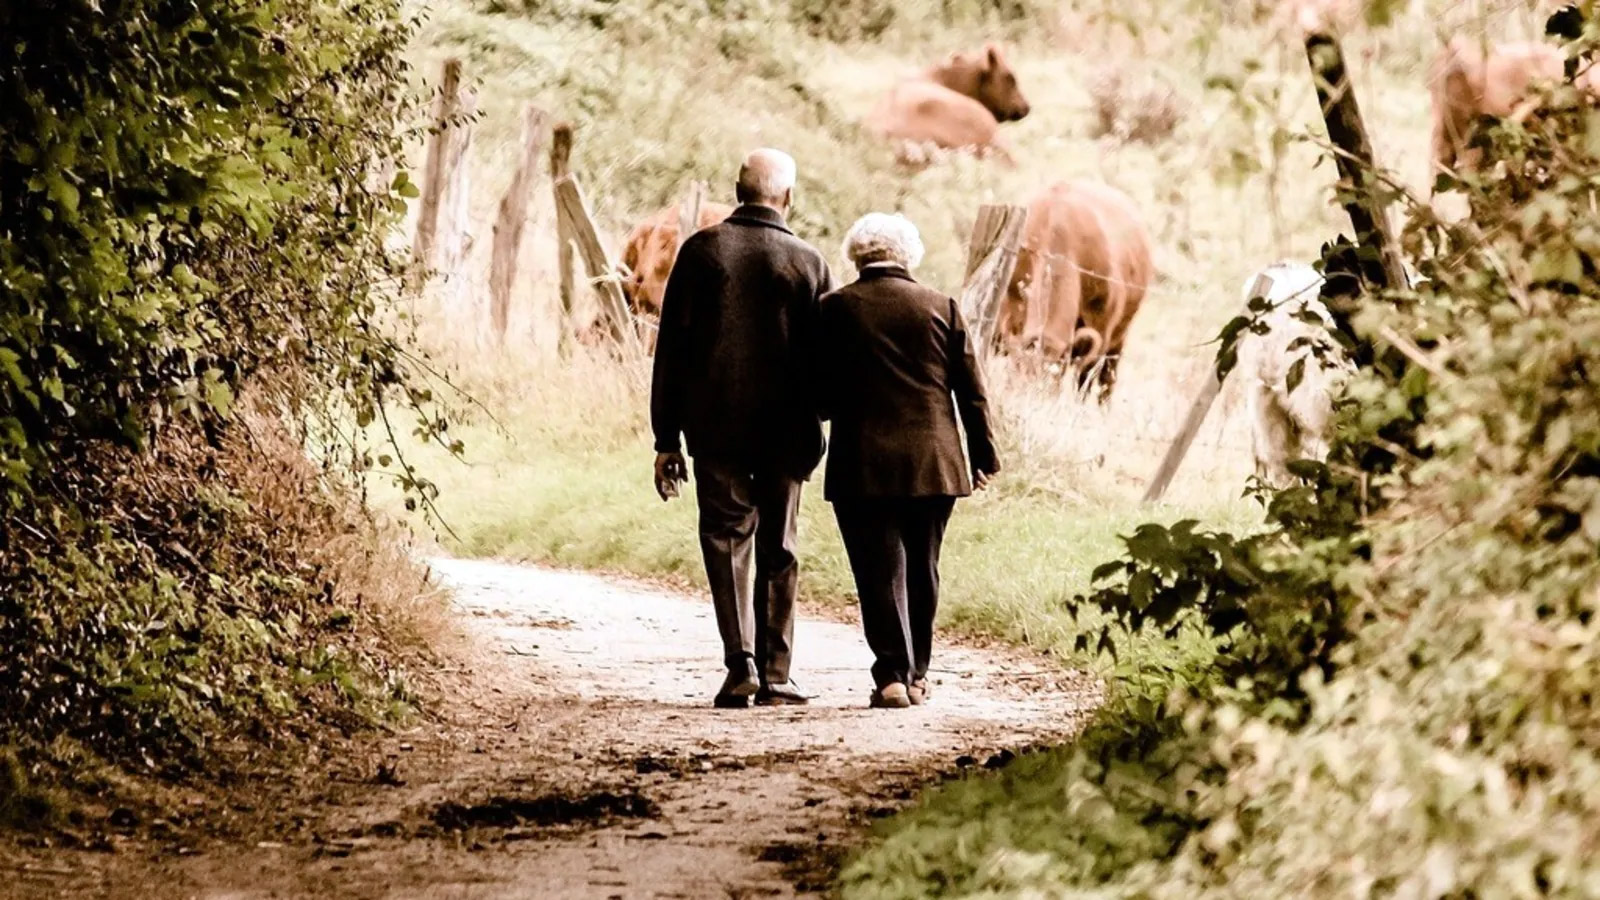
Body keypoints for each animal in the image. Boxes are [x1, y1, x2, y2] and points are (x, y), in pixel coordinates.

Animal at [998, 180, 1152, 400]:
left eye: (1052, 377)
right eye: (1021, 374)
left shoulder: (1101, 331)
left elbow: (1084, 381)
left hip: (1119, 339)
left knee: (1106, 382)